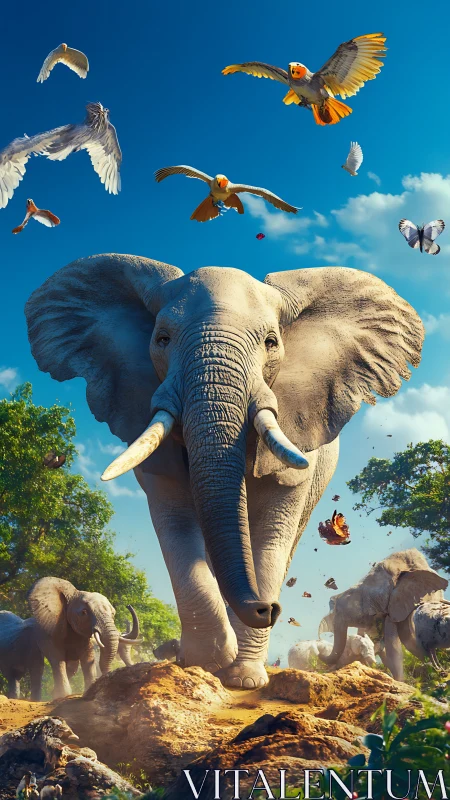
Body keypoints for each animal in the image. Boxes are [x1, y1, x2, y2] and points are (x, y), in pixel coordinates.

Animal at [25, 254, 424, 689]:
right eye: (162, 339)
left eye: (271, 342)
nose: (269, 609)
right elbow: (175, 525)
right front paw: (206, 659)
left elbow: (271, 535)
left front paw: (243, 679)